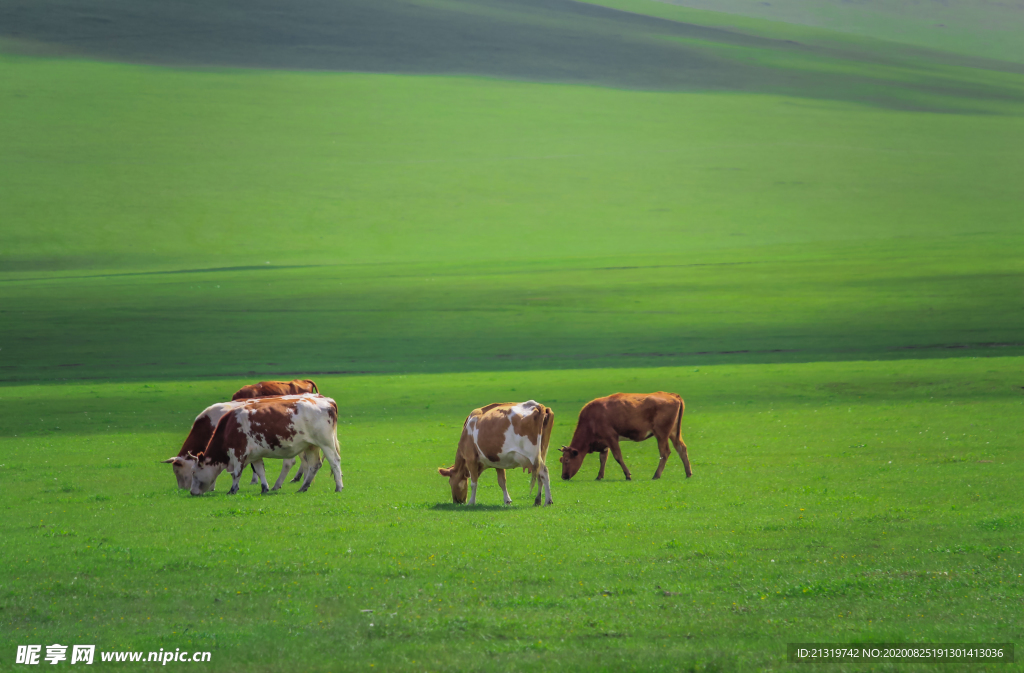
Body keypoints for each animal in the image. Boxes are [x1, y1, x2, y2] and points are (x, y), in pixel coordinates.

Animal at [186, 391, 342, 495]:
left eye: (193, 472)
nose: (192, 492)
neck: (229, 427)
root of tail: (328, 400)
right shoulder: (255, 455)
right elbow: (260, 470)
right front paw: (264, 488)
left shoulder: (239, 452)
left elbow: (237, 473)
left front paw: (232, 489)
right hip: (311, 446)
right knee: (314, 465)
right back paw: (303, 487)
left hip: (326, 443)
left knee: (334, 461)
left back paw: (338, 487)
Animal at [557, 391, 692, 479]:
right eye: (561, 460)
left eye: (567, 460)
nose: (564, 476)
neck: (591, 419)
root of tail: (672, 395)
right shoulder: (604, 443)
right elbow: (603, 459)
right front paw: (599, 476)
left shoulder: (611, 437)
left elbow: (618, 456)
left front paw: (628, 474)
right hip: (674, 433)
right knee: (681, 448)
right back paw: (688, 473)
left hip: (661, 434)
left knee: (665, 452)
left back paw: (656, 475)